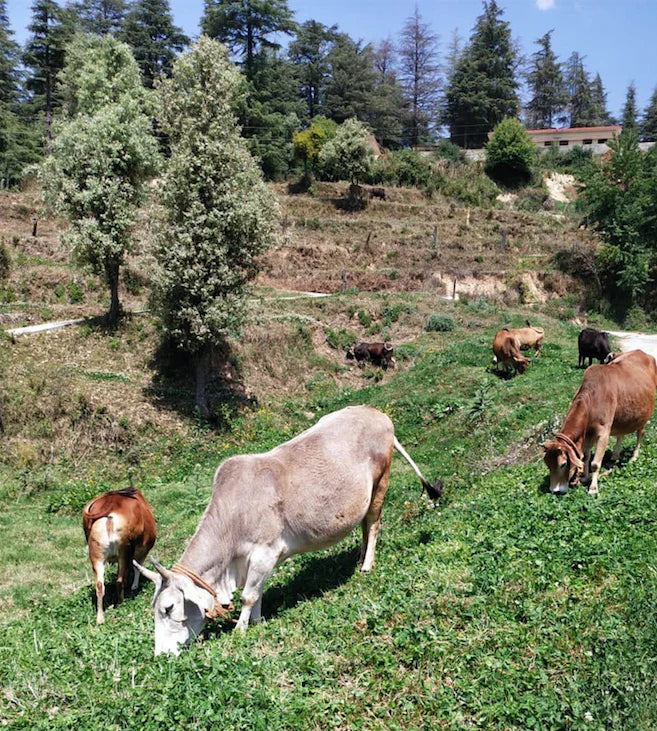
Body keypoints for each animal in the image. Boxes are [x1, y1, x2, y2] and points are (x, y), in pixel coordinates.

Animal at [82, 487, 156, 625]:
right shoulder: (141, 552)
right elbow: (138, 567)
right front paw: (134, 586)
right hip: (125, 551)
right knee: (119, 580)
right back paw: (121, 603)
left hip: (96, 556)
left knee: (99, 586)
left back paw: (100, 618)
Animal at [135, 406, 442, 655]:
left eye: (168, 608)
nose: (161, 655)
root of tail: (378, 415)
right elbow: (257, 592)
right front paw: (257, 621)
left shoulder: (265, 552)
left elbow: (248, 594)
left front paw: (240, 630)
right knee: (365, 526)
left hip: (381, 482)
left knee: (374, 524)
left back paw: (367, 565)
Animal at [543, 349, 657, 495]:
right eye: (547, 463)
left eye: (563, 464)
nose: (554, 490)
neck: (592, 399)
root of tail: (642, 352)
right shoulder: (587, 434)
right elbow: (586, 457)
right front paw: (584, 477)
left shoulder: (603, 433)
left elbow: (595, 463)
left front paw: (593, 488)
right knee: (621, 433)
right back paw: (615, 455)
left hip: (643, 416)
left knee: (640, 434)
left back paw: (633, 457)